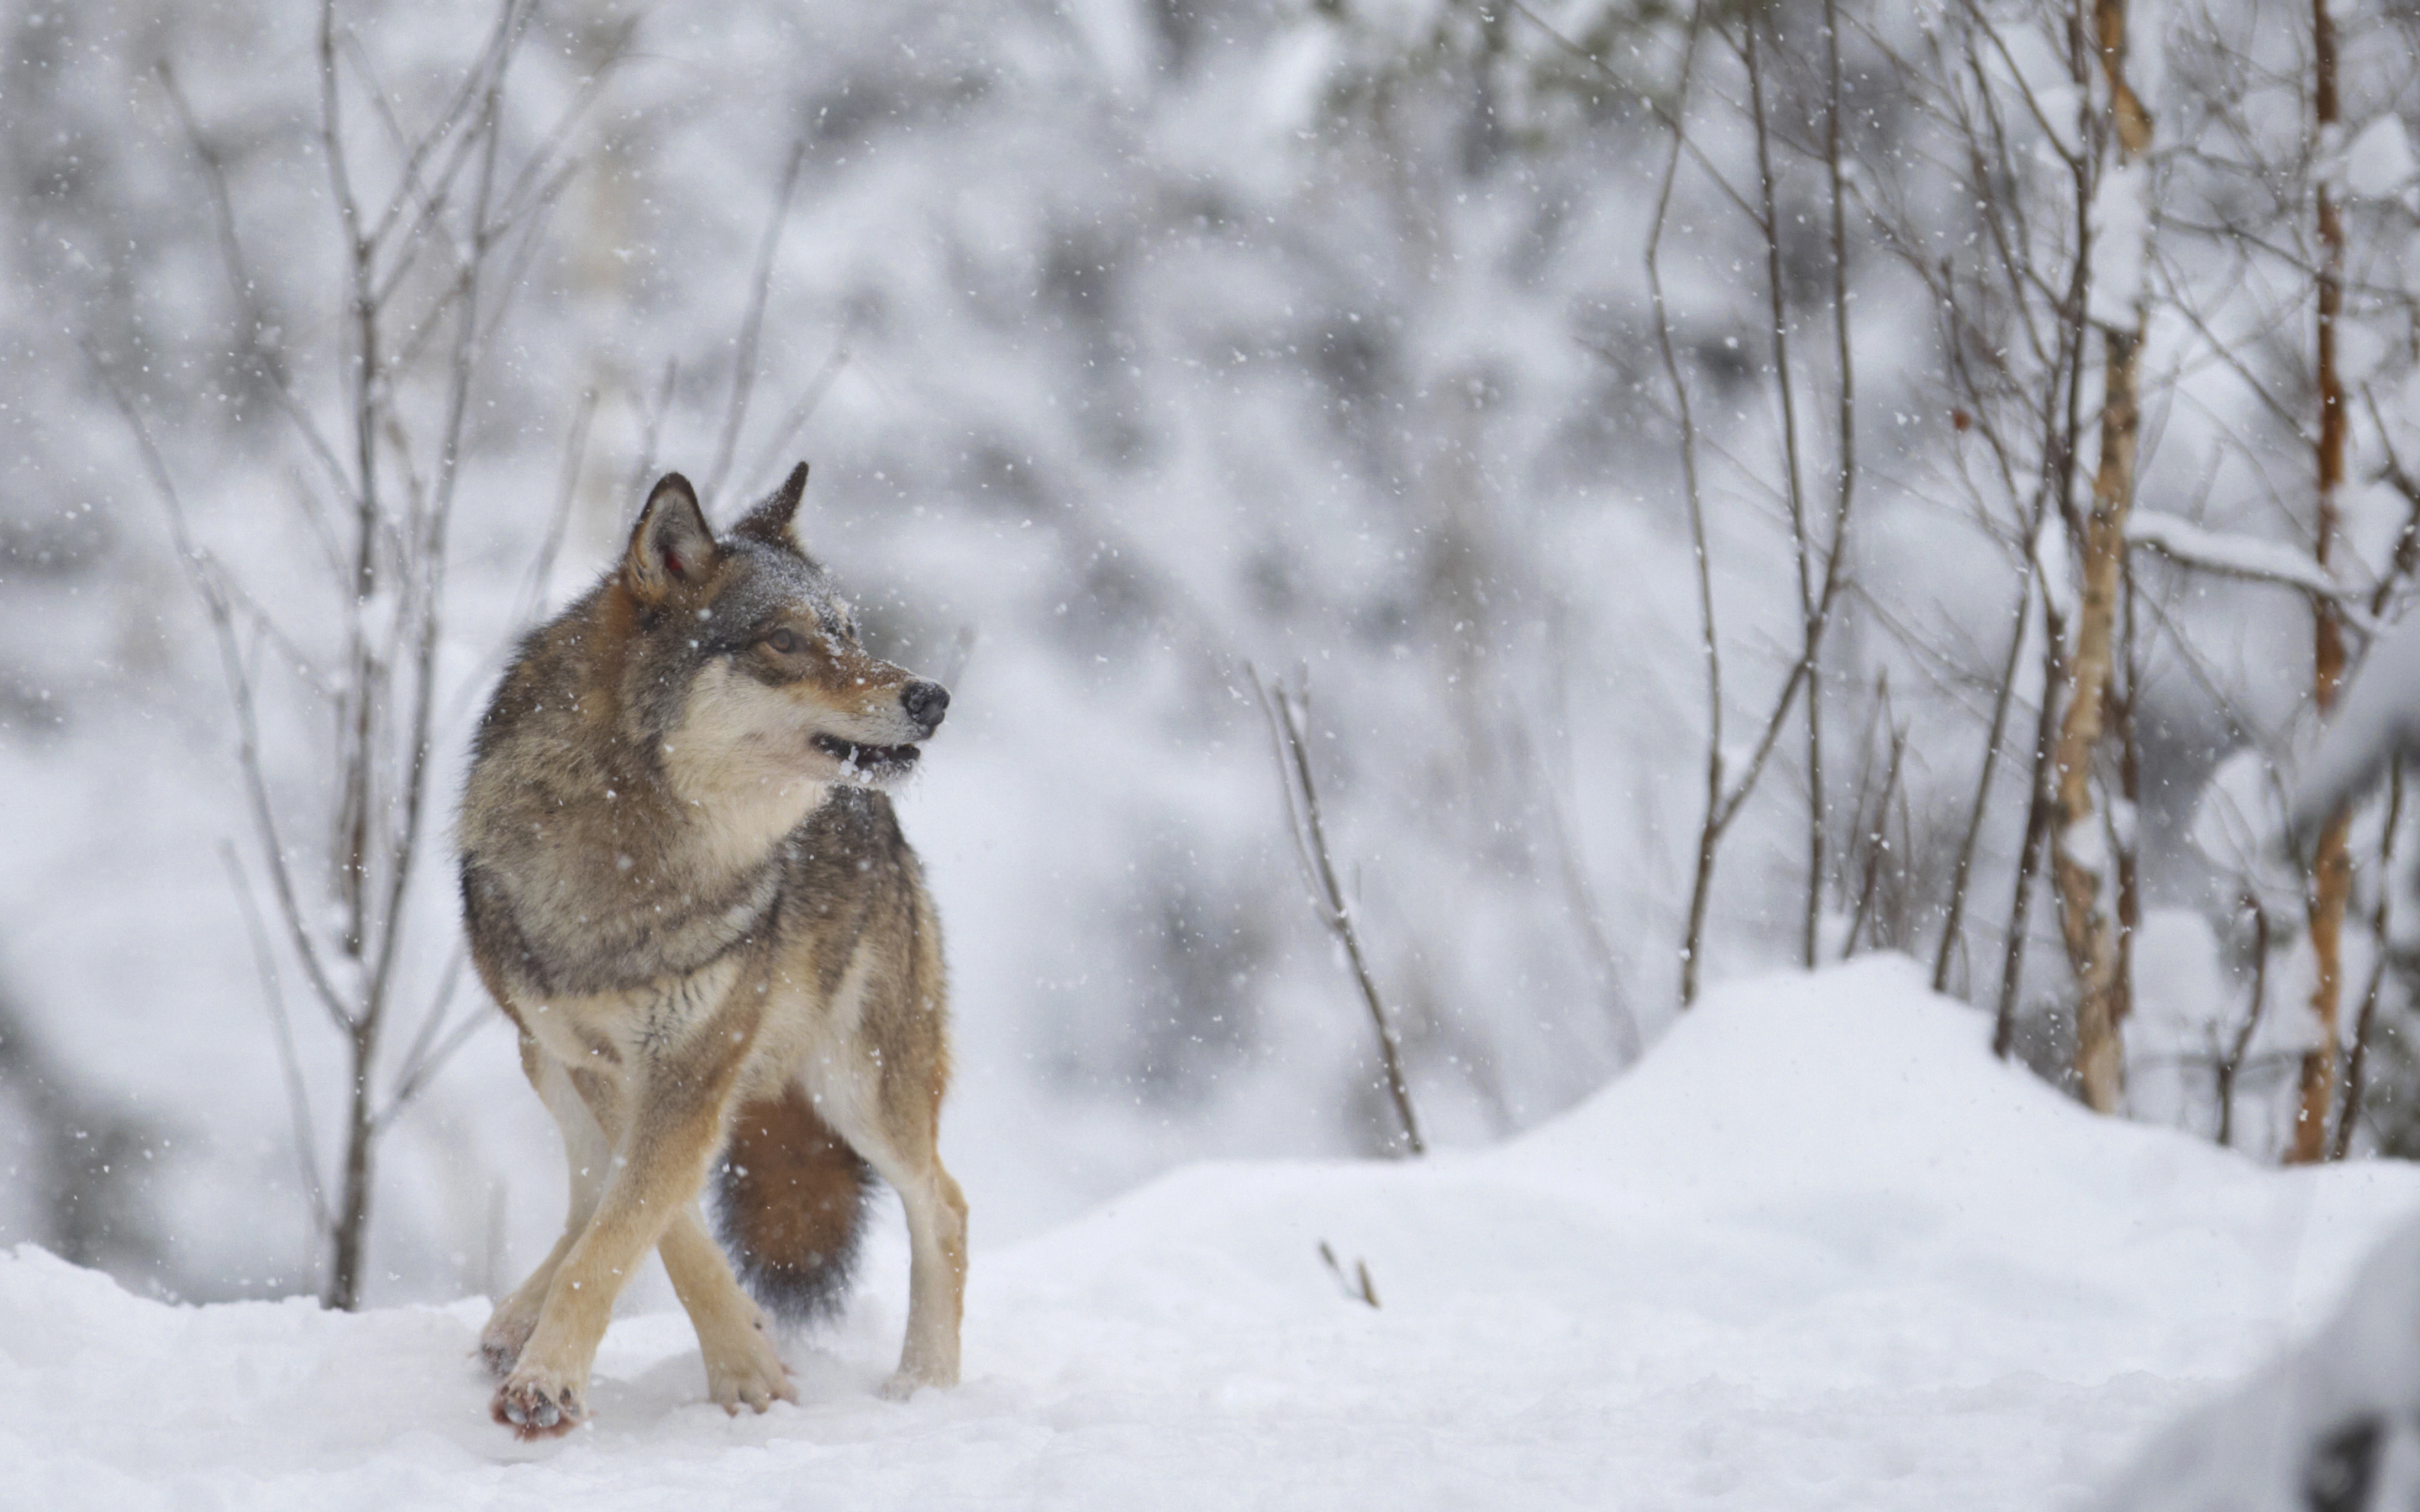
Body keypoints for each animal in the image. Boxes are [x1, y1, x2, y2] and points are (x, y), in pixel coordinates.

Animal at [460, 466, 963, 1431]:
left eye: (850, 631)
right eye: (785, 640)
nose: (932, 697)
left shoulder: (691, 1066)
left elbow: (627, 1230)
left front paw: (554, 1382)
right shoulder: (602, 1061)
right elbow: (652, 1227)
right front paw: (744, 1361)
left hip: (860, 1085)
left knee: (944, 1206)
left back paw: (925, 1387)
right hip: (540, 1058)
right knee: (587, 1191)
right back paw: (513, 1321)